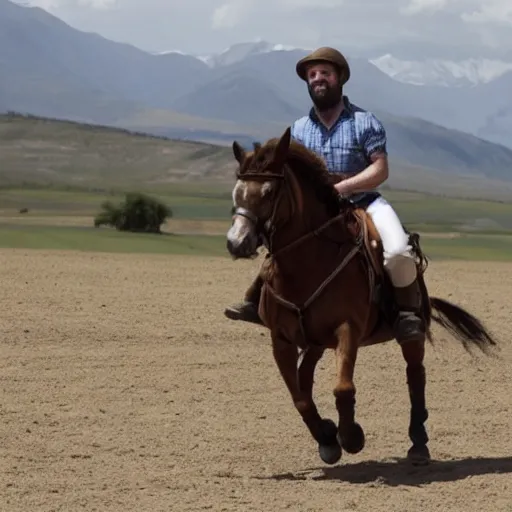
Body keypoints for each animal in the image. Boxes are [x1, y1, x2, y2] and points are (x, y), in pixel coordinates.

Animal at [226, 126, 498, 466]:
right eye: (236, 191)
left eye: (268, 193)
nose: (236, 243)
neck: (307, 263)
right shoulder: (282, 339)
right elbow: (300, 398)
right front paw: (328, 437)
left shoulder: (348, 329)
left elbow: (343, 388)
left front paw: (351, 436)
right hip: (315, 340)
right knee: (306, 375)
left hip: (406, 334)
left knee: (415, 374)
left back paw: (418, 443)